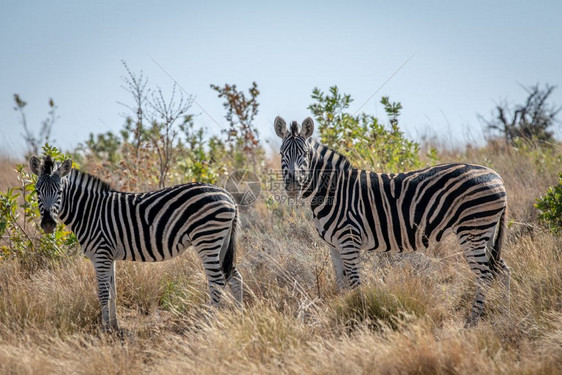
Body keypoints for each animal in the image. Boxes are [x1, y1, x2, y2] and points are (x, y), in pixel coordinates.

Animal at [29, 156, 242, 332]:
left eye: (60, 192)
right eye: (38, 191)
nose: (48, 224)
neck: (89, 212)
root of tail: (228, 195)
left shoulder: (101, 254)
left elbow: (103, 293)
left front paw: (105, 330)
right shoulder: (109, 256)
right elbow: (113, 291)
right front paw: (115, 327)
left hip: (206, 238)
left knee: (217, 281)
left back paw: (208, 322)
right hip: (220, 241)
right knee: (234, 276)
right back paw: (241, 314)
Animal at [274, 117, 510, 326]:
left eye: (305, 154)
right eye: (281, 154)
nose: (293, 185)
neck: (334, 190)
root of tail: (497, 176)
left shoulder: (349, 241)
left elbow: (355, 284)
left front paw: (359, 318)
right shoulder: (334, 247)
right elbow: (341, 285)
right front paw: (343, 315)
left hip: (472, 231)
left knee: (485, 276)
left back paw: (472, 322)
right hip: (485, 233)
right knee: (502, 270)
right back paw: (504, 314)